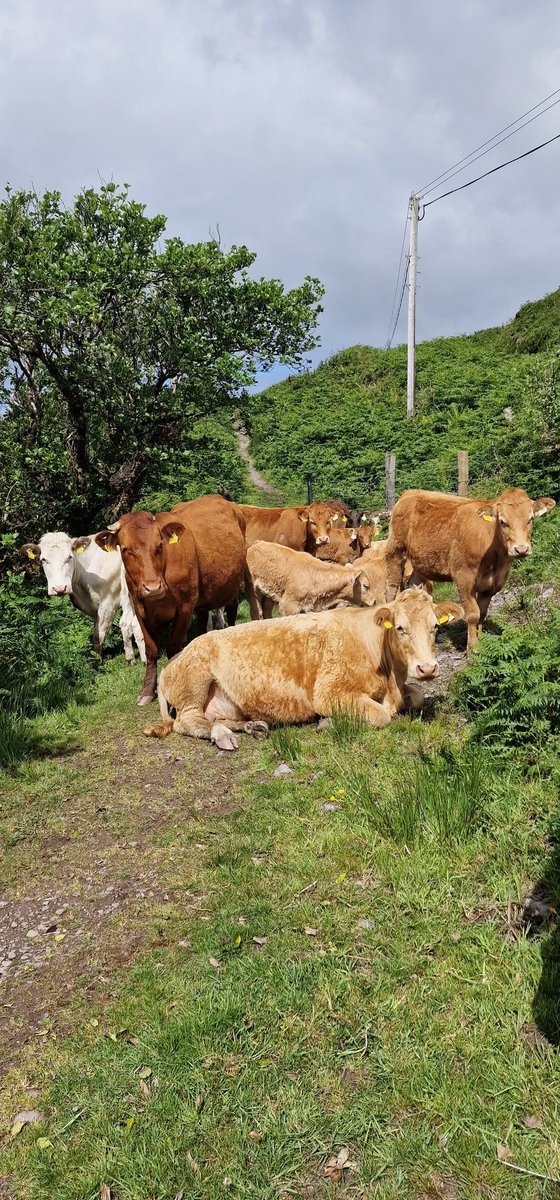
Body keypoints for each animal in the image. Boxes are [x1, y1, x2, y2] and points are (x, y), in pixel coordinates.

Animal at [21, 532, 145, 662]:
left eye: (70, 556)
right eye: (43, 559)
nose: (59, 588)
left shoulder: (108, 601)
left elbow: (99, 635)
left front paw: (96, 661)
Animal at [94, 494, 256, 700]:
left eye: (159, 545)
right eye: (125, 549)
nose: (153, 587)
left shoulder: (184, 608)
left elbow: (172, 647)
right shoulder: (140, 610)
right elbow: (151, 650)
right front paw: (147, 691)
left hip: (233, 582)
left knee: (232, 610)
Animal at [145, 585, 465, 744]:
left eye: (436, 626)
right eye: (400, 628)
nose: (427, 668)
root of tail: (174, 660)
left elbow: (418, 696)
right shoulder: (329, 692)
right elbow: (381, 715)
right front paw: (329, 722)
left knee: (212, 717)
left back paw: (253, 726)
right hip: (194, 685)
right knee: (187, 722)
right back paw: (222, 735)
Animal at [386, 484, 556, 648]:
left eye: (530, 518)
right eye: (502, 521)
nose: (521, 549)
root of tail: (411, 492)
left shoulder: (492, 584)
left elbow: (482, 613)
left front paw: (482, 644)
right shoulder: (463, 577)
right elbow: (473, 614)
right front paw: (472, 649)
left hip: (421, 563)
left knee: (412, 584)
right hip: (395, 551)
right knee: (392, 588)